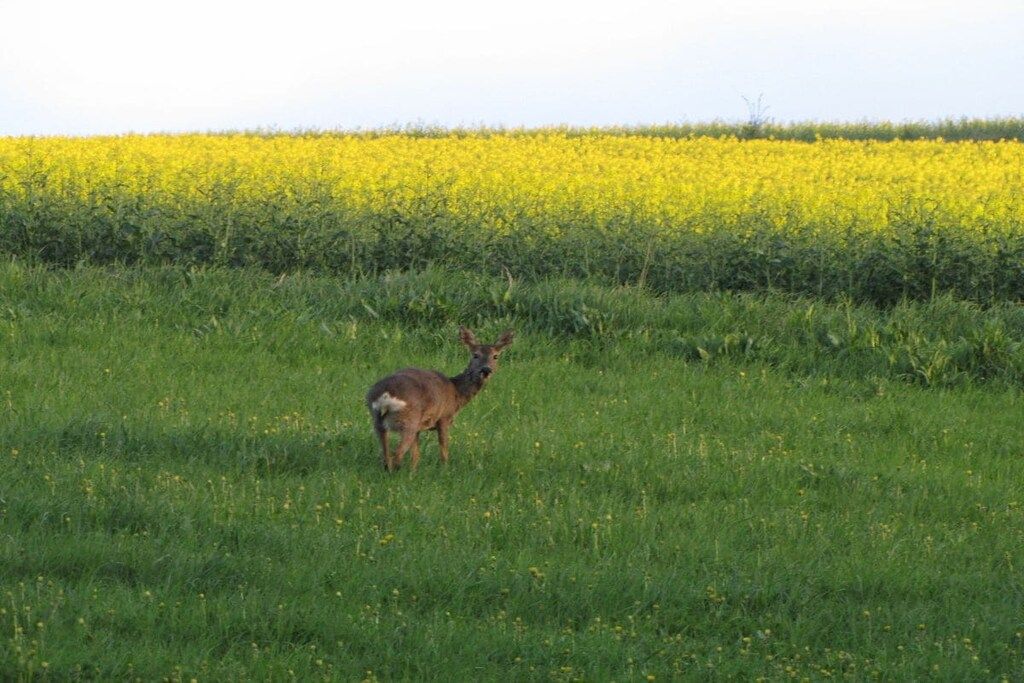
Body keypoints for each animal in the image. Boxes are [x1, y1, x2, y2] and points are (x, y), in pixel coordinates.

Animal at [366, 326, 515, 472]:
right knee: (396, 456)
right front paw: (445, 470)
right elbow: (443, 449)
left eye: (495, 356)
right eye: (475, 355)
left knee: (386, 456)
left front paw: (414, 473)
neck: (456, 393)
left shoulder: (420, 427)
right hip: (409, 421)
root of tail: (385, 395)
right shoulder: (444, 417)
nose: (486, 370)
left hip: (378, 421)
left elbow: (416, 456)